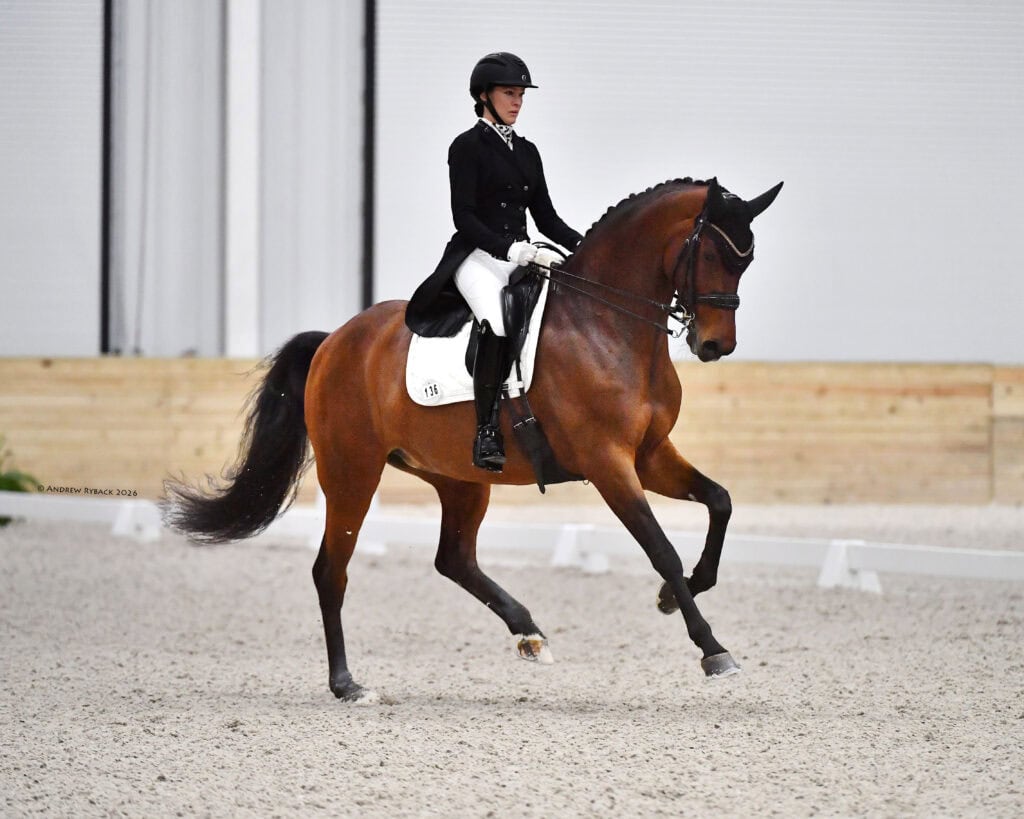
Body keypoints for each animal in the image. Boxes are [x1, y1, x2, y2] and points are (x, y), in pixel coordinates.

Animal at [163, 176, 783, 702]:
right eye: (713, 255)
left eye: (748, 260)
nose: (714, 346)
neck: (606, 326)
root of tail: (335, 340)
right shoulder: (609, 464)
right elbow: (661, 549)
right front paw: (712, 649)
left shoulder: (650, 456)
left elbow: (720, 502)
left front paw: (678, 595)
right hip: (352, 473)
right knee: (330, 570)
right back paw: (347, 685)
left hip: (458, 477)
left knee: (453, 559)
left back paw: (528, 633)